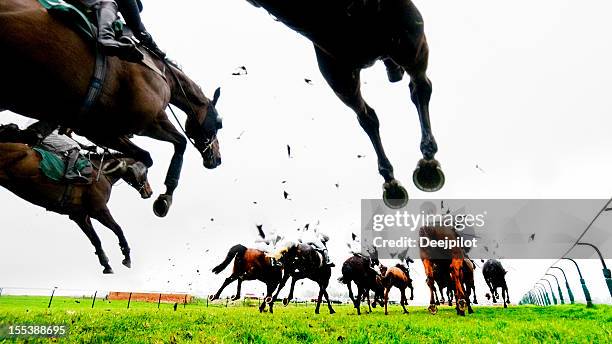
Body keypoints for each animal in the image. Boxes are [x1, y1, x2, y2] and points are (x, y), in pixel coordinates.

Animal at [0, 0, 224, 216]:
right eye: (219, 123)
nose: (217, 159)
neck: (163, 76)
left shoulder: (99, 130)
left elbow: (144, 154)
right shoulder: (146, 122)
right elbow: (177, 144)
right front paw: (164, 197)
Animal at [246, 0, 448, 207]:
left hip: (404, 41)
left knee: (419, 88)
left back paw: (427, 161)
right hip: (340, 72)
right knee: (367, 116)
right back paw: (392, 179)